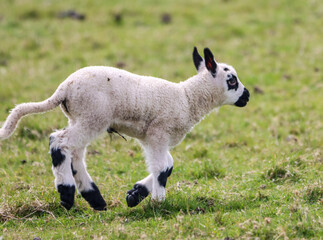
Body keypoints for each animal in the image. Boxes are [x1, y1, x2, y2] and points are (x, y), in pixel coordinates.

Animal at [0, 47, 251, 210]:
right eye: (231, 80)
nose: (247, 96)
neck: (188, 99)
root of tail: (64, 88)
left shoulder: (150, 138)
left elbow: (168, 166)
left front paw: (136, 193)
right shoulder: (158, 133)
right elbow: (162, 167)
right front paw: (158, 202)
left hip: (81, 117)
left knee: (75, 153)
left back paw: (95, 199)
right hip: (93, 116)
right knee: (58, 141)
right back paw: (67, 195)